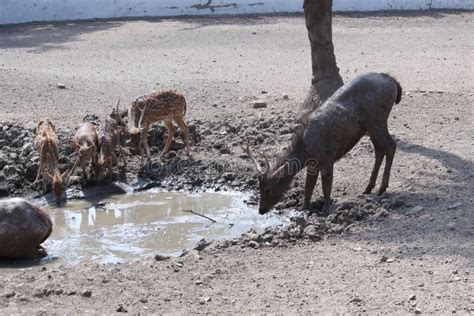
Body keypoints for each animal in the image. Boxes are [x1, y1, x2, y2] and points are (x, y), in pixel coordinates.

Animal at [246, 72, 402, 215]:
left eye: (268, 189)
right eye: (259, 187)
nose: (261, 210)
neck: (305, 150)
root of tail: (393, 82)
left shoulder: (327, 158)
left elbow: (326, 186)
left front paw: (326, 210)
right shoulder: (313, 165)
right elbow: (308, 187)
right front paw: (304, 208)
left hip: (377, 119)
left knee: (391, 146)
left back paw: (382, 187)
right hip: (370, 126)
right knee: (379, 150)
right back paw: (369, 187)